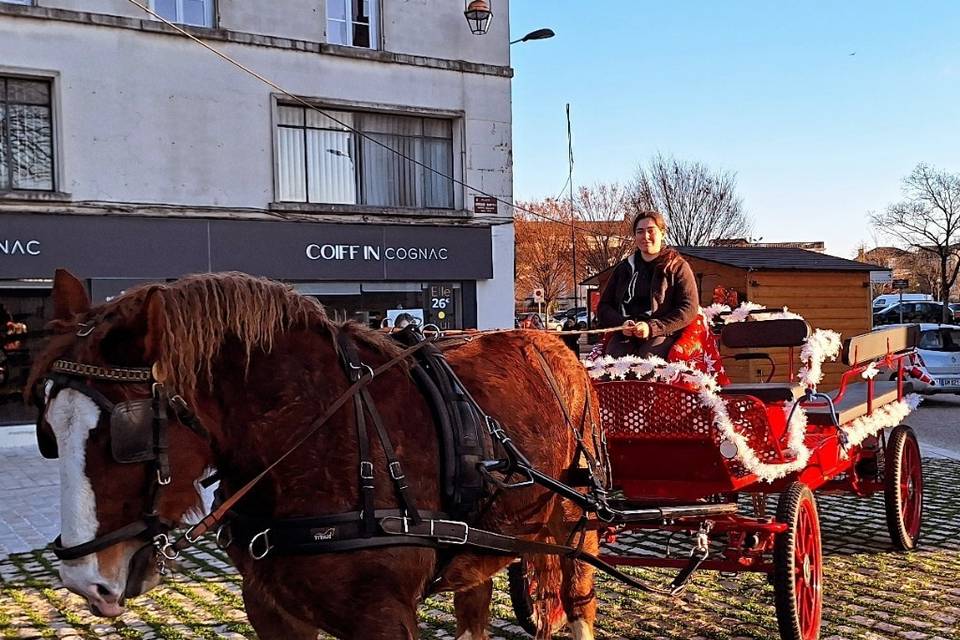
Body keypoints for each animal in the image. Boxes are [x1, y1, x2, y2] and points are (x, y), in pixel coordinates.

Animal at [31, 272, 600, 640]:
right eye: (48, 432)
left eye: (126, 434)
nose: (83, 580)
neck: (309, 441)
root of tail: (555, 341)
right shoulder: (270, 610)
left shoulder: (381, 619)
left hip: (577, 522)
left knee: (579, 601)